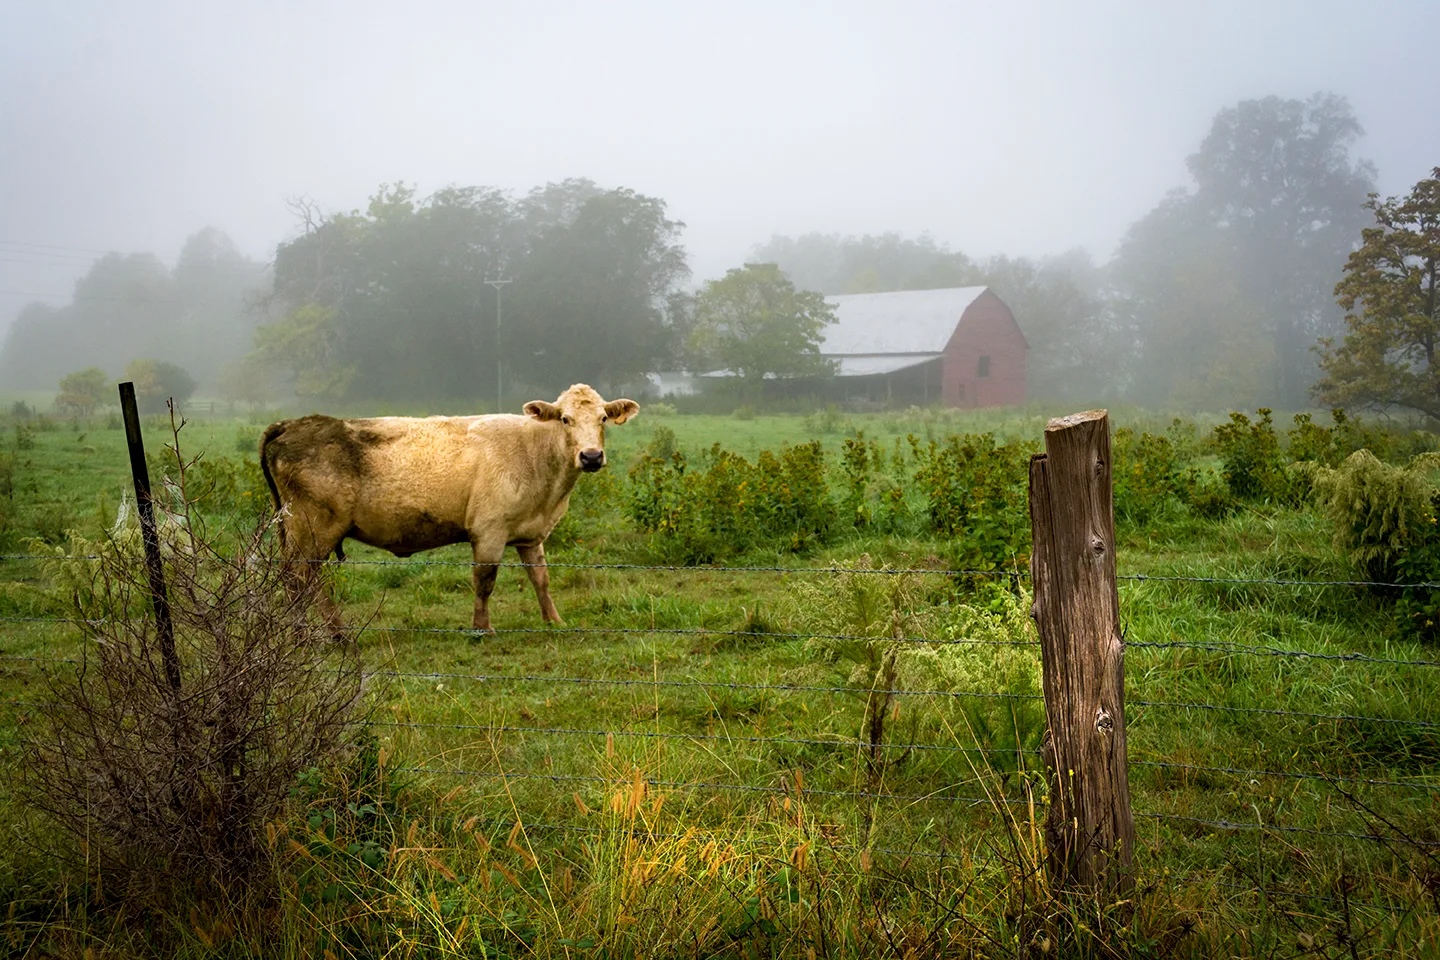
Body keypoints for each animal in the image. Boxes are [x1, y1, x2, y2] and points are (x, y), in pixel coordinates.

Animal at [259, 383, 639, 633]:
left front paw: (554, 621)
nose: (591, 456)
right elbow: (484, 580)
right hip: (312, 527)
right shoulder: (489, 530)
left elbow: (541, 579)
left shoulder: (531, 533)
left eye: (603, 419)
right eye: (564, 419)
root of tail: (294, 424)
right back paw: (329, 632)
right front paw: (482, 628)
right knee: (300, 576)